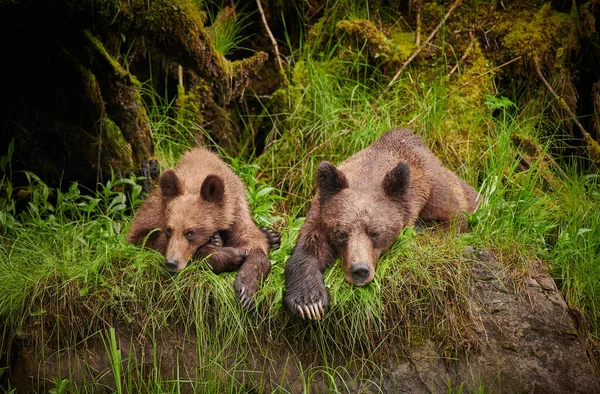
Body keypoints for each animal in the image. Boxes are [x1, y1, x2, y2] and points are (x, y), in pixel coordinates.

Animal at [127, 148, 278, 308]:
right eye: (169, 229)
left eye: (190, 232)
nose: (172, 262)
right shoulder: (156, 222)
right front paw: (230, 254)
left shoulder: (236, 208)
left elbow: (252, 240)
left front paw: (246, 291)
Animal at [284, 129, 480, 320]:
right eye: (340, 233)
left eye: (375, 232)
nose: (359, 270)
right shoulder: (321, 208)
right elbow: (310, 245)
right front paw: (309, 302)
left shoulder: (438, 195)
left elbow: (450, 223)